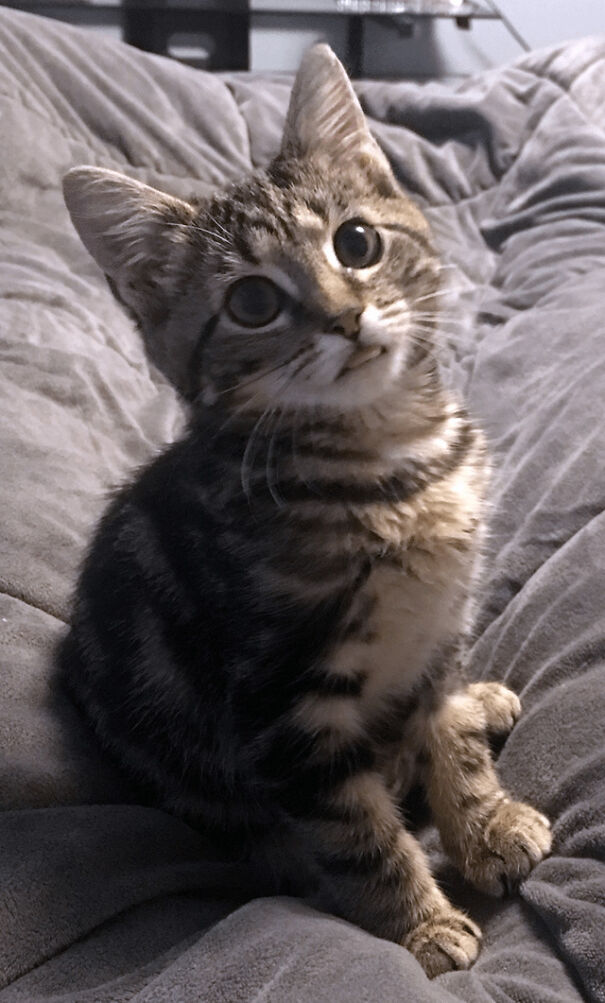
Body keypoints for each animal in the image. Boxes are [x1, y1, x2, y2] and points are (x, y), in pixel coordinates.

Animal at [59, 45, 549, 978]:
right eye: (251, 302)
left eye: (355, 243)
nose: (345, 317)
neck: (392, 467)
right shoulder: (283, 703)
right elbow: (355, 831)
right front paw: (419, 925)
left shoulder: (433, 635)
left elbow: (447, 738)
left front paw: (481, 820)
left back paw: (479, 702)